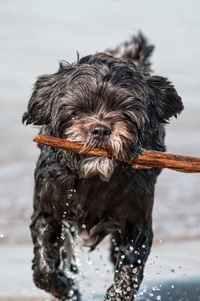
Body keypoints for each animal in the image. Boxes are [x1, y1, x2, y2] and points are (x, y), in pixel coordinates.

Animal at [22, 33, 184, 300]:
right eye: (77, 111)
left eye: (125, 111)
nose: (99, 129)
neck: (94, 181)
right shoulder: (47, 211)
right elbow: (44, 269)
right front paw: (66, 287)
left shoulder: (136, 222)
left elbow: (129, 270)